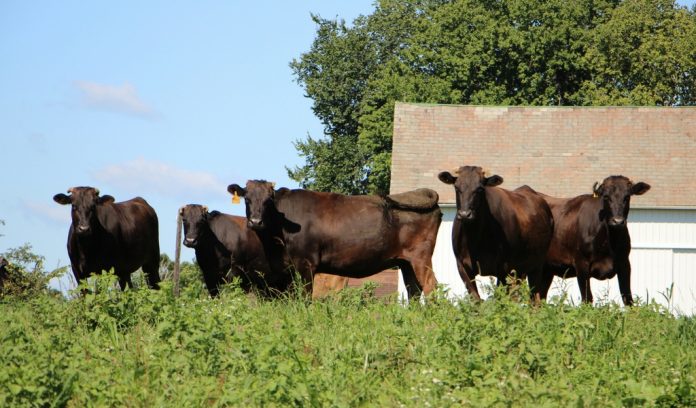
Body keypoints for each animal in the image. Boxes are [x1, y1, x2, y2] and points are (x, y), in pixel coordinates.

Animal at [226, 180, 440, 298]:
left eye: (268, 200)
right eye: (247, 199)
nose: (255, 221)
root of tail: (417, 193)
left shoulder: (305, 264)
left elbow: (304, 298)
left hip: (421, 257)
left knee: (431, 287)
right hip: (406, 262)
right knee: (414, 291)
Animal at [436, 166, 556, 302]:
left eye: (480, 189)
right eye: (456, 187)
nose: (465, 214)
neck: (474, 239)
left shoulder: (504, 269)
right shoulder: (462, 266)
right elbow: (476, 299)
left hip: (536, 266)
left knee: (535, 298)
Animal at [540, 176, 652, 306]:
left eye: (627, 197)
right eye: (606, 197)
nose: (617, 221)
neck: (609, 242)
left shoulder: (624, 264)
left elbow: (628, 299)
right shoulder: (581, 264)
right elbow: (587, 299)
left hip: (547, 270)